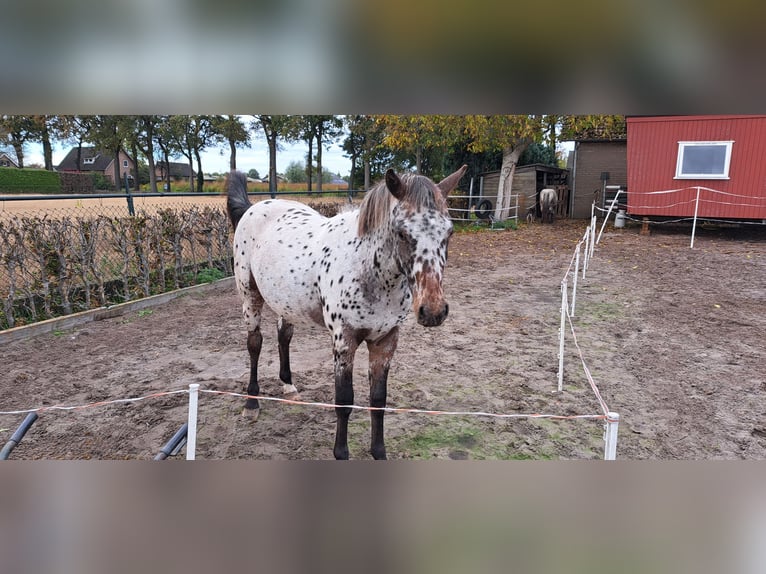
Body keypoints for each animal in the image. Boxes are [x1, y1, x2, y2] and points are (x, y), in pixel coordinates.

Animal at [226, 165, 468, 460]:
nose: (433, 311)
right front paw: (341, 453)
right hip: (250, 296)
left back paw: (289, 386)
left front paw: (379, 452)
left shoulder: (386, 340)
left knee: (284, 335)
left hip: (286, 302)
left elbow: (378, 399)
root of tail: (253, 208)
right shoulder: (344, 341)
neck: (368, 270)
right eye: (401, 233)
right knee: (255, 343)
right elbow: (344, 400)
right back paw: (251, 403)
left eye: (449, 233)